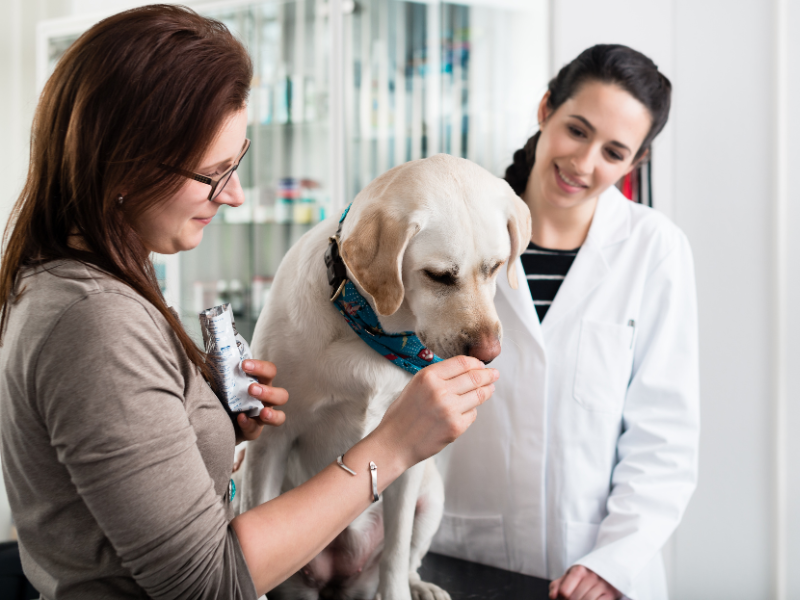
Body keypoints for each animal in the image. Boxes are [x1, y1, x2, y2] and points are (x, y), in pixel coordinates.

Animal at [241, 156, 528, 600]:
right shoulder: (270, 442)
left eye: (496, 267)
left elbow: (395, 553)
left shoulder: (408, 464)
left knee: (406, 558)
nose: (488, 354)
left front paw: (400, 588)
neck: (374, 329)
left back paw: (419, 585)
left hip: (432, 496)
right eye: (439, 275)